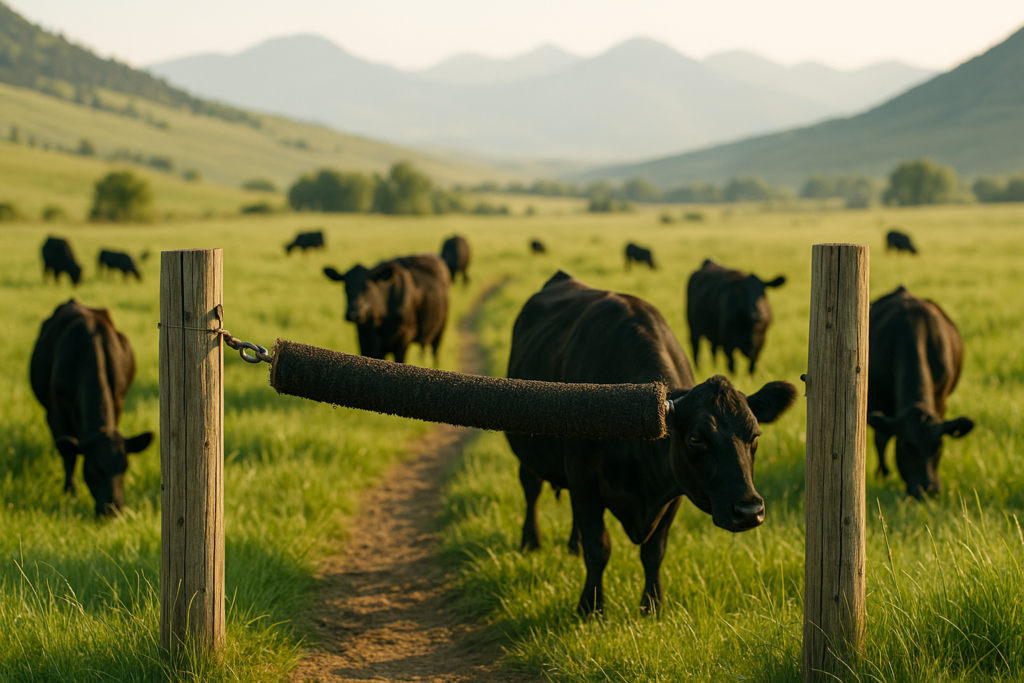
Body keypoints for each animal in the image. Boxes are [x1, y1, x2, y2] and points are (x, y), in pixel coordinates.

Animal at [29, 300, 154, 516]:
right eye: (94, 470)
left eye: (125, 467)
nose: (113, 510)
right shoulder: (56, 414)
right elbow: (69, 455)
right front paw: (69, 492)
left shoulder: (118, 402)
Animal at [506, 271, 796, 616]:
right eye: (696, 438)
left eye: (755, 435)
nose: (749, 510)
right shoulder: (583, 477)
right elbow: (598, 546)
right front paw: (591, 607)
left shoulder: (675, 488)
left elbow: (654, 551)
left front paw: (652, 606)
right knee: (531, 489)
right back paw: (530, 541)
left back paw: (571, 545)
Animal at [867, 286, 974, 499]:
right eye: (905, 446)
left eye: (938, 445)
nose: (927, 490)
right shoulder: (879, 402)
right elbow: (881, 438)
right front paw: (883, 474)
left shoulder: (940, 401)